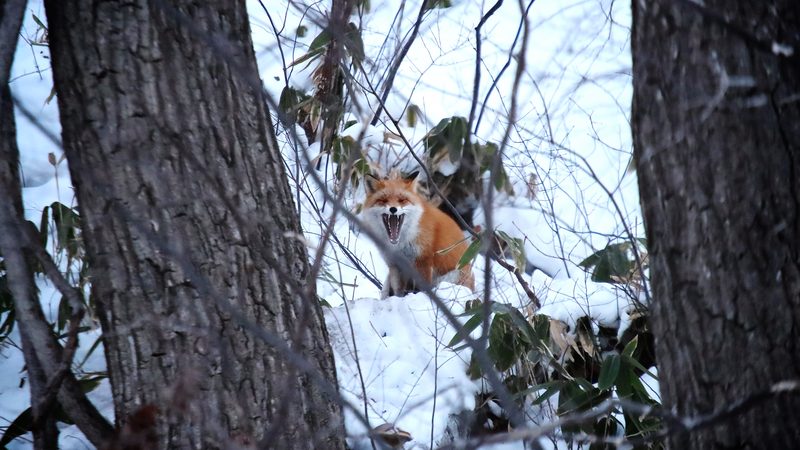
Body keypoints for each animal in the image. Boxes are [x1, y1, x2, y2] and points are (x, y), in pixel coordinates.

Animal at [361, 170, 475, 298]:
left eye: (402, 200)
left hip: (452, 276)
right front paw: (399, 299)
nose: (393, 209)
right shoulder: (395, 264)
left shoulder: (423, 259)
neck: (400, 243)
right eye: (383, 200)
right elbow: (398, 290)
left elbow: (422, 288)